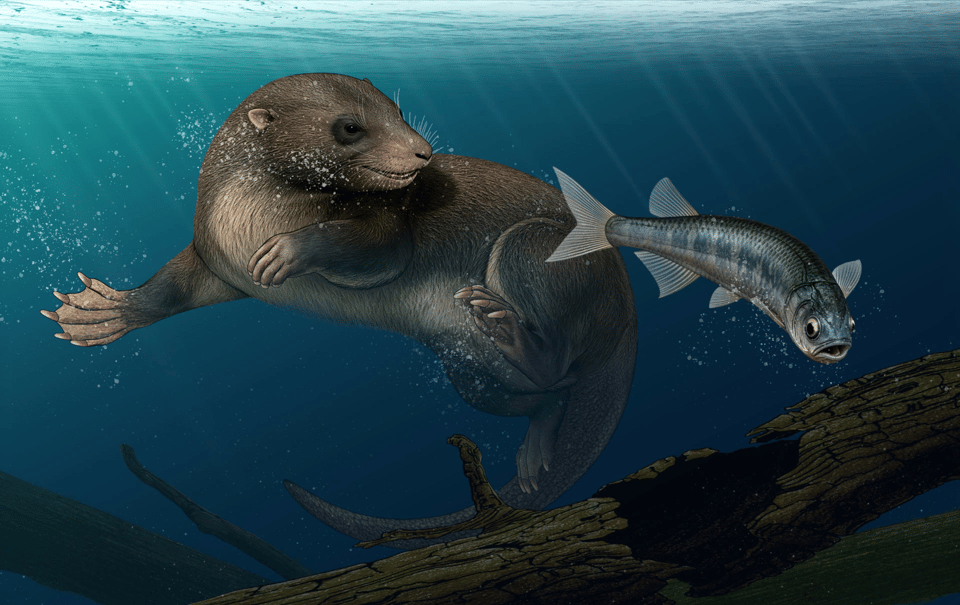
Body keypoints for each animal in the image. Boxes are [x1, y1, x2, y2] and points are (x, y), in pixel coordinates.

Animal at [42, 73, 637, 547]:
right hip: (467, 371)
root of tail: (624, 307)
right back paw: (536, 436)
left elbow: (373, 248)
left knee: (556, 358)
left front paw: (288, 252)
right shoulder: (216, 256)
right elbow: (172, 288)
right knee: (550, 392)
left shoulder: (386, 225)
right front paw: (102, 314)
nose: (422, 151)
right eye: (350, 127)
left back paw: (504, 321)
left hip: (531, 247)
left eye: (399, 111)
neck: (254, 214)